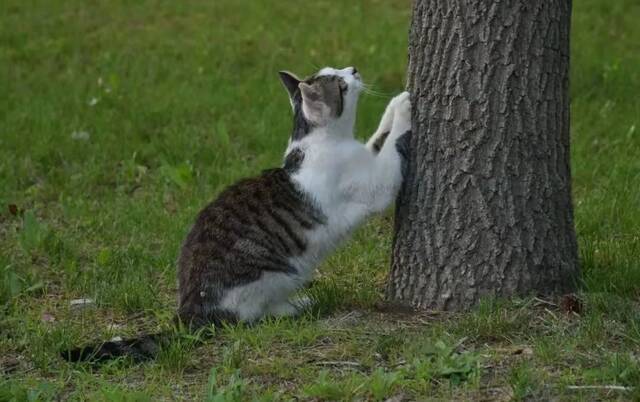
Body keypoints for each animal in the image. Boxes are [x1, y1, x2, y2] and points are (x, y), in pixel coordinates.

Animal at [61, 66, 410, 364]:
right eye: (339, 83)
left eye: (338, 70)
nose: (353, 69)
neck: (318, 142)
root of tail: (189, 309)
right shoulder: (375, 186)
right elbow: (391, 149)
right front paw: (406, 110)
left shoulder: (365, 156)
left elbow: (378, 137)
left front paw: (394, 104)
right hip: (275, 274)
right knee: (249, 317)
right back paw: (294, 307)